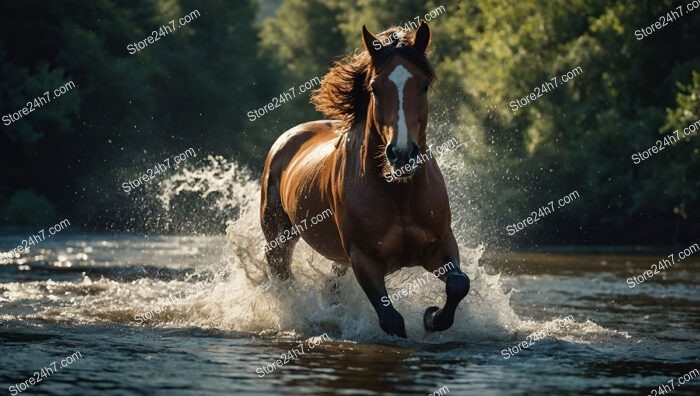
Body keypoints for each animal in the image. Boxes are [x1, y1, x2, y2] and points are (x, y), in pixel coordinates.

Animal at [258, 22, 470, 338]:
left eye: (423, 85)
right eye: (375, 88)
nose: (402, 154)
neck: (398, 195)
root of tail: (285, 140)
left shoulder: (439, 243)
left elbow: (459, 284)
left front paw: (432, 317)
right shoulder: (364, 258)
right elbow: (391, 320)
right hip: (278, 235)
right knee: (282, 276)